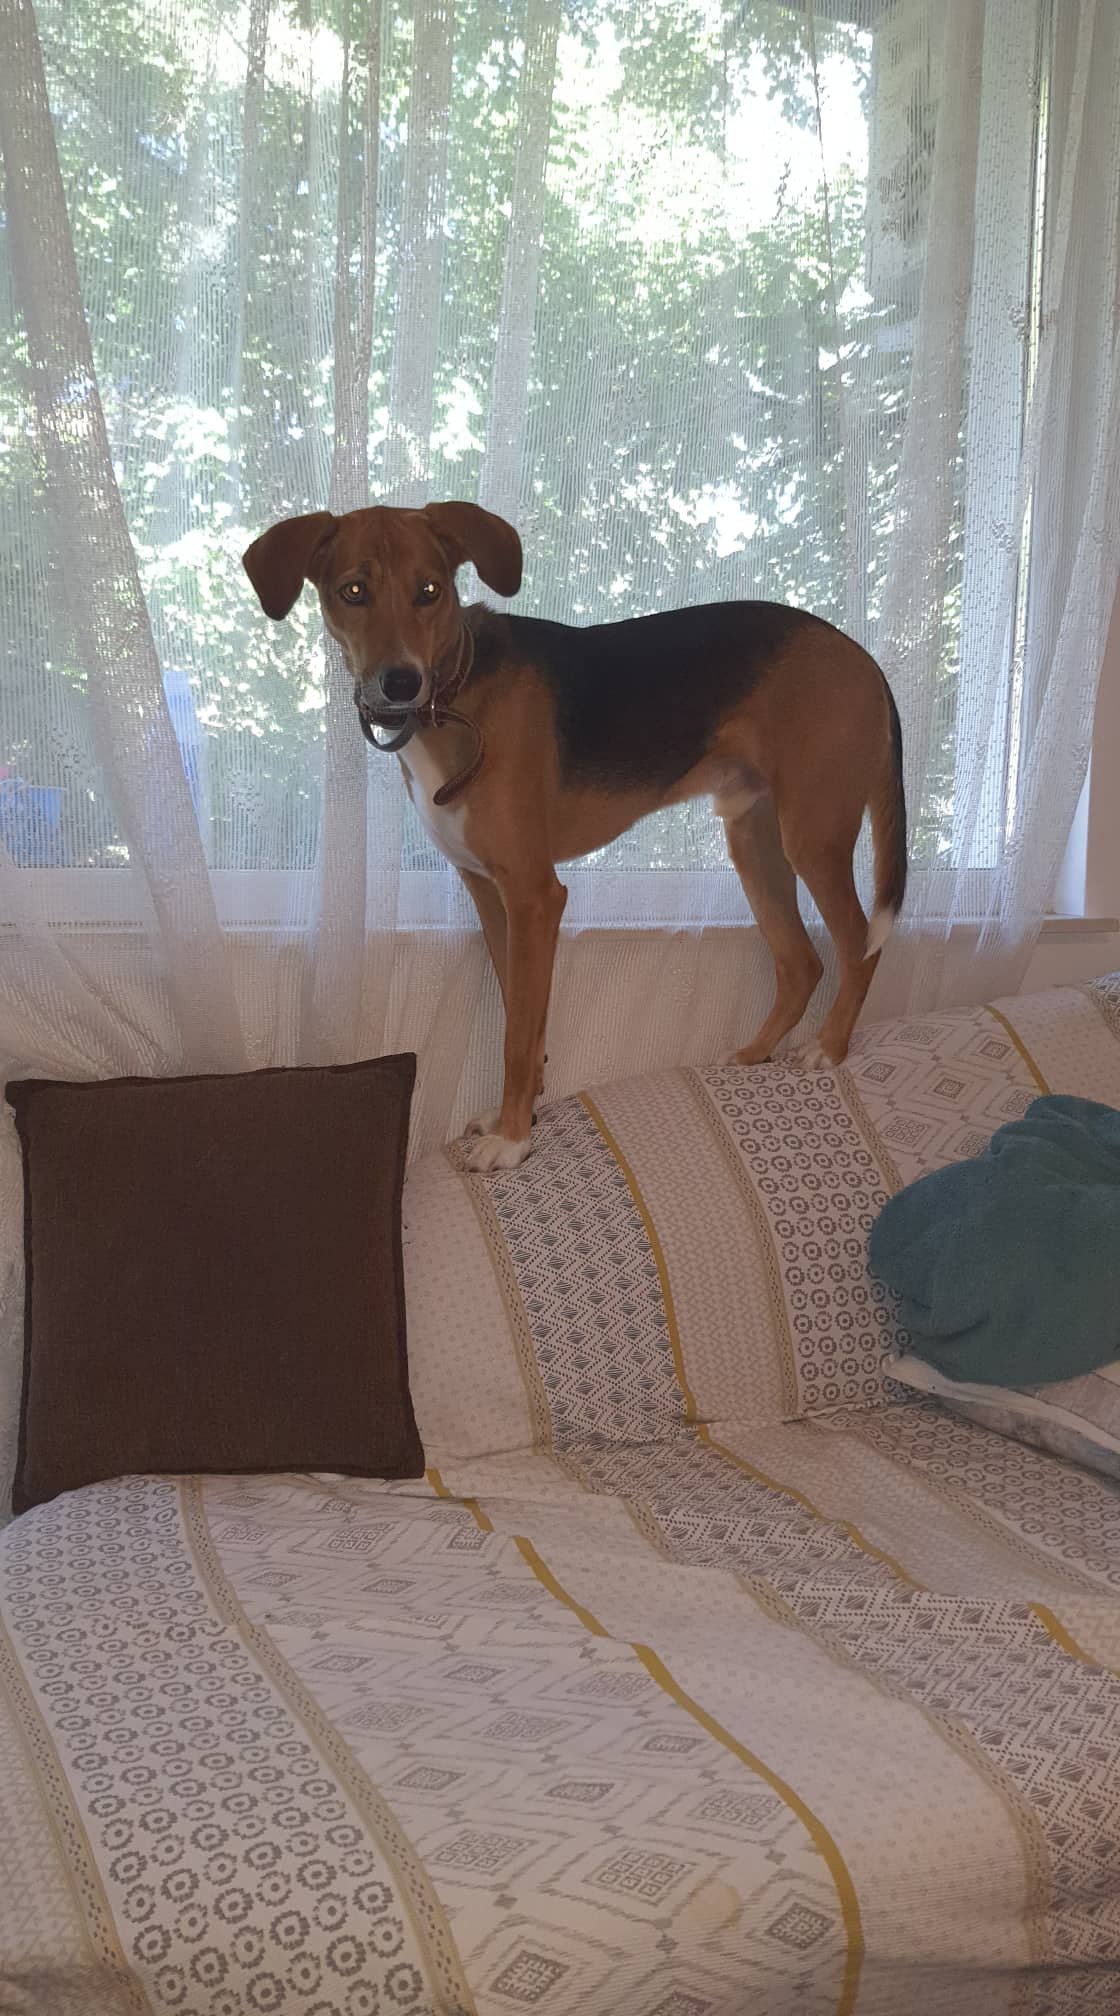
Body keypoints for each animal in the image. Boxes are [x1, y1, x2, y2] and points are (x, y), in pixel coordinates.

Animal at [243, 501, 906, 1173]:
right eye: (353, 591)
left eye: (429, 591)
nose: (400, 683)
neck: (455, 693)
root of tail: (861, 654)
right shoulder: (492, 897)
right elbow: (523, 1017)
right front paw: (518, 1115)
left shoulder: (536, 897)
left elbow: (516, 1037)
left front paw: (512, 1140)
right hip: (753, 843)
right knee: (801, 962)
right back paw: (751, 1056)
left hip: (813, 835)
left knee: (859, 945)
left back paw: (828, 1049)